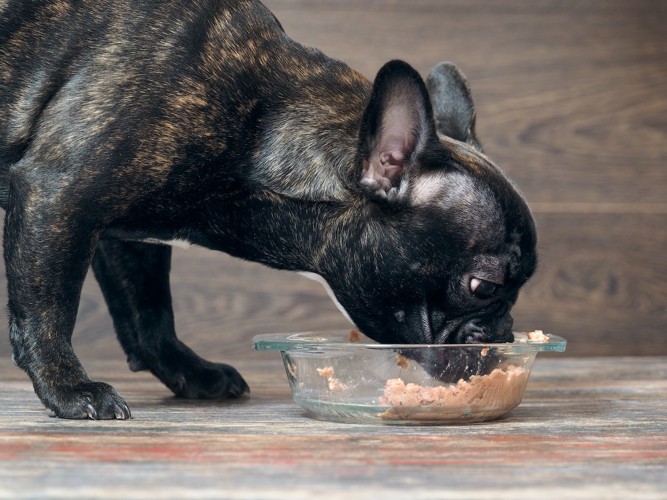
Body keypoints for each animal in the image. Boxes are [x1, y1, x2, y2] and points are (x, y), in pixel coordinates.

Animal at [0, 0, 536, 418]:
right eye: (483, 286)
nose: (504, 333)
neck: (259, 126)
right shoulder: (59, 193)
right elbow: (49, 308)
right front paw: (69, 389)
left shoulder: (123, 233)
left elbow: (148, 312)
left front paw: (188, 371)